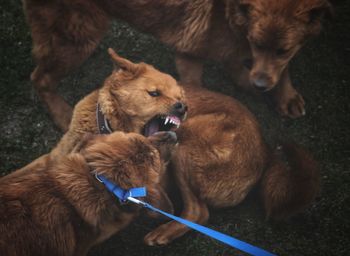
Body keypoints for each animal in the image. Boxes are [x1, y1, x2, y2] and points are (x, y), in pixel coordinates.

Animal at [23, 0, 332, 129]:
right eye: (257, 42)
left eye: (283, 49)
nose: (261, 86)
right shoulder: (190, 53)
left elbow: (270, 69)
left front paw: (285, 95)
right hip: (79, 35)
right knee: (39, 77)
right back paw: (62, 114)